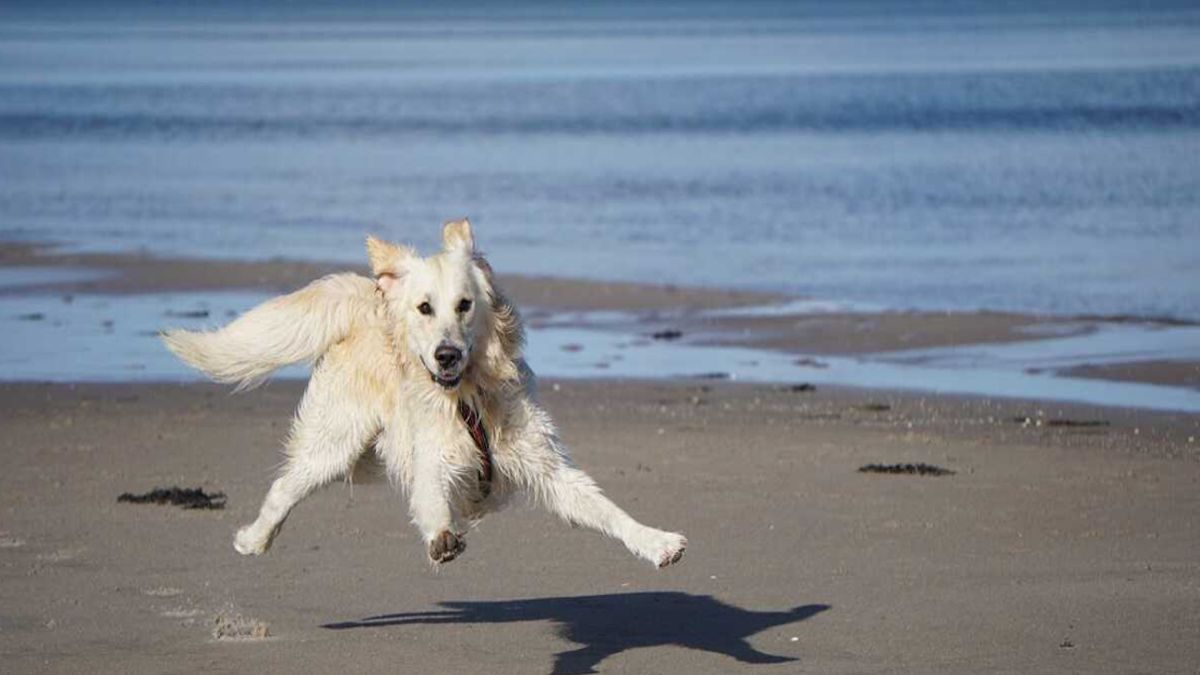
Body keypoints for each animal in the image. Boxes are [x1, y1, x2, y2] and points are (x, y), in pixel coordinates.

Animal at [162, 218, 686, 564]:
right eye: (424, 308)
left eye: (464, 305)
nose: (446, 355)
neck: (468, 399)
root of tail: (369, 302)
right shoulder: (432, 457)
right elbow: (432, 497)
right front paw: (442, 536)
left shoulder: (547, 467)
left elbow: (605, 508)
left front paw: (656, 541)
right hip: (335, 443)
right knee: (284, 486)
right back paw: (253, 538)